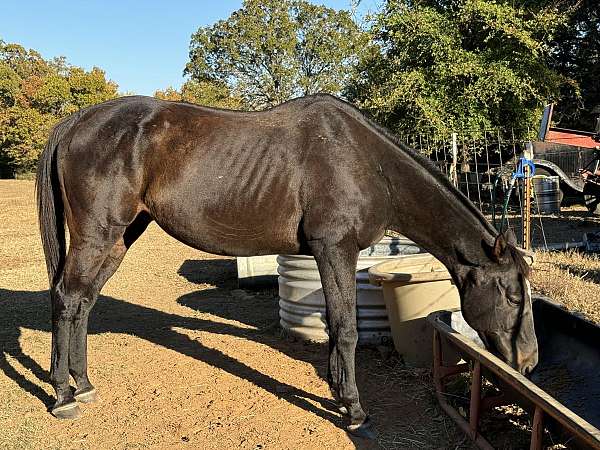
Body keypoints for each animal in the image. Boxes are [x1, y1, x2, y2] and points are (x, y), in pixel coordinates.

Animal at [35, 94, 536, 436]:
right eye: (513, 295)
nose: (528, 361)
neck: (365, 162)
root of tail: (75, 121)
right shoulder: (334, 249)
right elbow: (347, 329)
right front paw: (354, 409)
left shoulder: (332, 254)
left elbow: (336, 325)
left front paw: (337, 393)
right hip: (97, 235)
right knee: (67, 298)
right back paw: (62, 395)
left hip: (119, 238)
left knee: (83, 302)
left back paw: (83, 383)